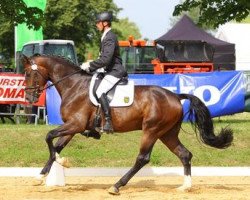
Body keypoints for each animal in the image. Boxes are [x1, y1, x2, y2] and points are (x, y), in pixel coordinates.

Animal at [22, 54, 233, 194]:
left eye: (28, 74)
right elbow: (56, 146)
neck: (73, 86)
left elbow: (49, 137)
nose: (29, 98)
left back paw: (116, 186)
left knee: (143, 158)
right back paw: (185, 186)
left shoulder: (76, 125)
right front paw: (41, 176)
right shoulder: (72, 127)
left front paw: (62, 162)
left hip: (151, 130)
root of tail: (175, 96)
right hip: (167, 133)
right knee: (184, 154)